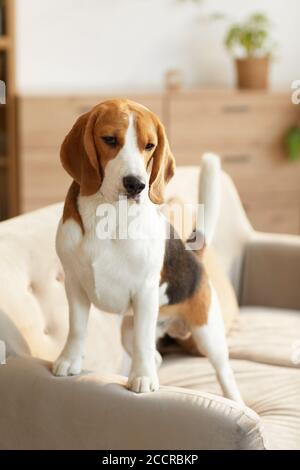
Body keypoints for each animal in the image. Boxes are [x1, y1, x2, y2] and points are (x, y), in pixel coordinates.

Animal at [52, 99, 243, 404]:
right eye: (109, 139)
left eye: (150, 145)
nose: (136, 184)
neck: (109, 213)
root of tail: (193, 253)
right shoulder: (74, 285)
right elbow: (77, 328)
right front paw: (70, 361)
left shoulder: (144, 293)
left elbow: (143, 341)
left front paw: (141, 378)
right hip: (127, 330)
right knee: (155, 355)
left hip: (206, 332)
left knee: (223, 370)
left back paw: (234, 398)